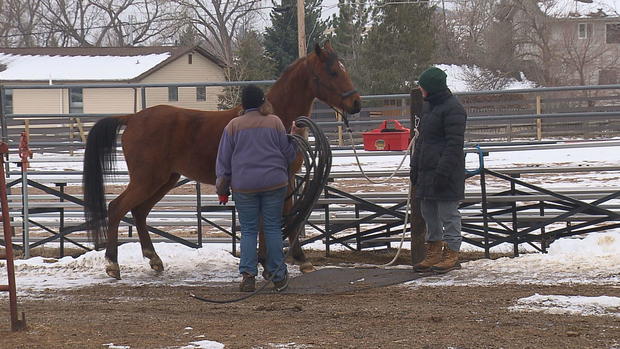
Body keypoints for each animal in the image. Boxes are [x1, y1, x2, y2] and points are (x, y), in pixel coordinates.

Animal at [84, 40, 360, 278]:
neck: (273, 116)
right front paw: (275, 262)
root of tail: (133, 117)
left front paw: (295, 261)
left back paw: (154, 259)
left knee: (139, 212)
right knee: (117, 208)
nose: (356, 103)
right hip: (146, 179)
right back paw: (112, 265)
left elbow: (287, 214)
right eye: (333, 72)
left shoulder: (286, 179)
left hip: (164, 180)